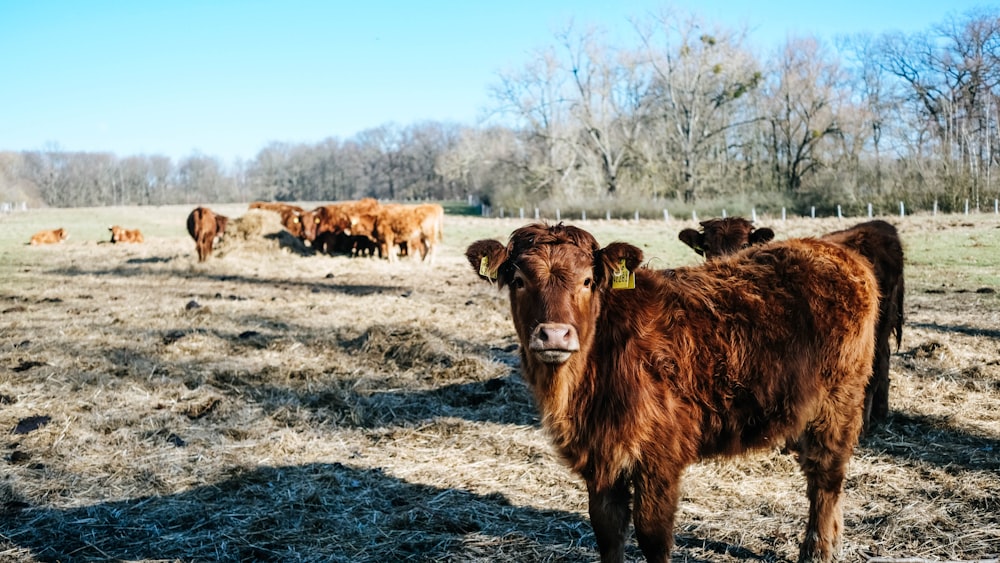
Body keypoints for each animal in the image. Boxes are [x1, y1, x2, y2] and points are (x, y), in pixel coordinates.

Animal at [466, 224, 876, 563]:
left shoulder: (659, 456)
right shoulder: (601, 456)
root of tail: (833, 251)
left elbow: (653, 535)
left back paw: (818, 551)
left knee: (825, 478)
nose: (554, 334)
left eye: (586, 281)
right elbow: (608, 531)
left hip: (838, 403)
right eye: (519, 280)